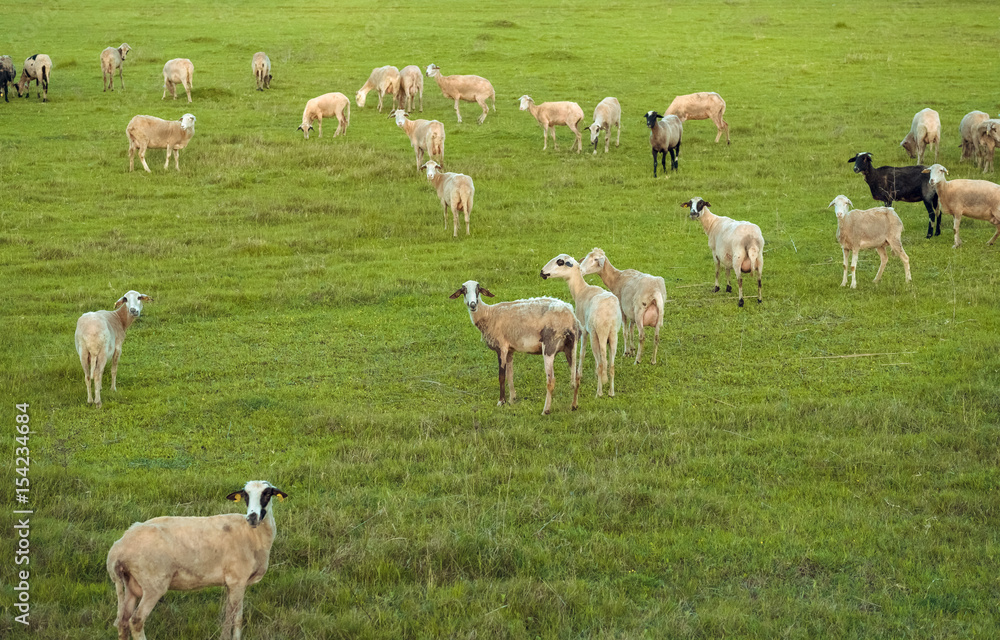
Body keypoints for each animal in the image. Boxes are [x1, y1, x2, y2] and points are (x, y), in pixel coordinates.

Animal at [107, 480, 287, 640]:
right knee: (136, 621)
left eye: (267, 493)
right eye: (245, 495)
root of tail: (117, 549)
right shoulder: (238, 580)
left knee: (123, 621)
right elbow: (236, 619)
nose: (252, 517)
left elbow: (229, 615)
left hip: (130, 584)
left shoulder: (231, 583)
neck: (252, 534)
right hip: (153, 583)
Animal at [450, 281, 580, 415]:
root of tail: (571, 317)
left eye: (478, 290)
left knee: (551, 381)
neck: (488, 314)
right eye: (463, 291)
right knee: (577, 376)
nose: (472, 305)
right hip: (570, 347)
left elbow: (501, 376)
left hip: (550, 345)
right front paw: (512, 399)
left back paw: (546, 410)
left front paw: (501, 401)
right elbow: (510, 375)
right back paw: (574, 406)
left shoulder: (502, 347)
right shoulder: (509, 350)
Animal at [540, 254, 622, 398]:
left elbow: (582, 353)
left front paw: (580, 374)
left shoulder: (583, 329)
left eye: (560, 262)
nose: (542, 272)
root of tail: (606, 319)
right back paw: (611, 392)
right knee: (610, 365)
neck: (581, 290)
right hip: (613, 335)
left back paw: (599, 392)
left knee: (601, 364)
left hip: (595, 334)